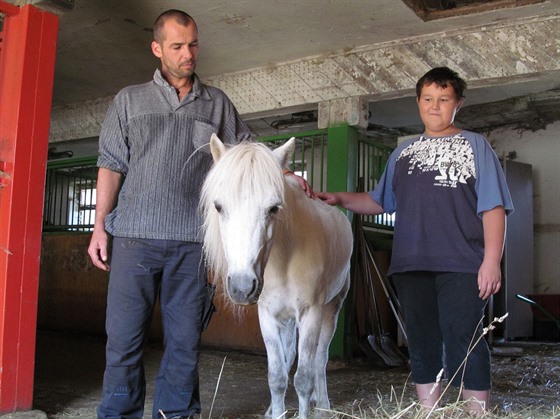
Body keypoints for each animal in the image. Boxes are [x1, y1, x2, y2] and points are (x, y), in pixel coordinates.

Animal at [199, 135, 352, 419]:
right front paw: (277, 410)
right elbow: (277, 376)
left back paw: (323, 404)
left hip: (331, 310)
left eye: (273, 208)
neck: (284, 259)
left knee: (320, 358)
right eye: (218, 206)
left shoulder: (310, 313)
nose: (242, 287)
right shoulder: (268, 315)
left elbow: (303, 378)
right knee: (289, 354)